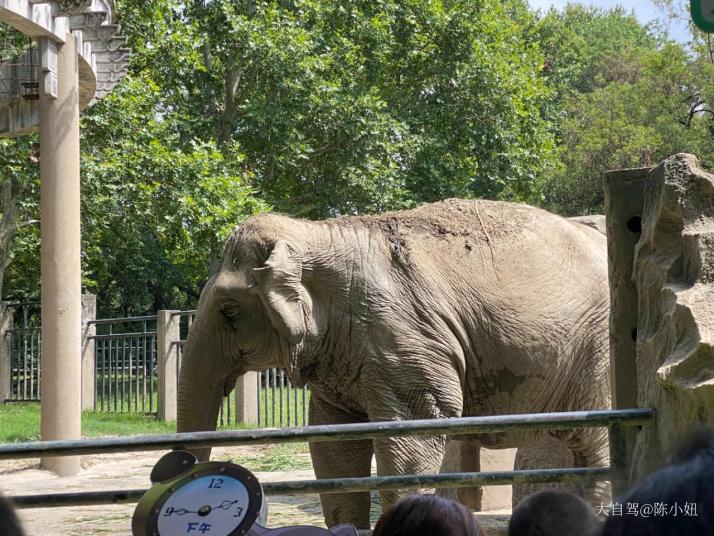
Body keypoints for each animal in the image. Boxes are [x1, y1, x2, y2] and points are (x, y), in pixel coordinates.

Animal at [175, 198, 608, 528]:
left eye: (230, 310)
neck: (319, 233)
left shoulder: (405, 341)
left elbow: (410, 440)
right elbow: (334, 448)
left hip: (598, 347)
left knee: (595, 444)